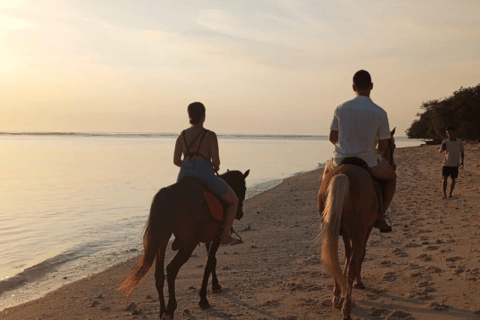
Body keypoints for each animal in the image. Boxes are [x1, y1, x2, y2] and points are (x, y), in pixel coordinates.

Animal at [119, 169, 249, 318]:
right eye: (244, 188)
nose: (240, 213)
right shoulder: (216, 237)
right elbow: (209, 263)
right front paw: (203, 298)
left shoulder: (209, 239)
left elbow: (212, 261)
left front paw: (215, 285)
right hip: (188, 245)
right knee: (171, 269)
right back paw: (170, 309)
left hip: (162, 240)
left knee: (159, 274)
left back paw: (163, 310)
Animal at [316, 129, 396, 318]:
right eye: (394, 146)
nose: (394, 165)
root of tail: (344, 173)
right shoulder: (365, 229)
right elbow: (360, 255)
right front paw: (358, 282)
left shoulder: (346, 233)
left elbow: (347, 255)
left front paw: (342, 288)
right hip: (359, 231)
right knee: (354, 261)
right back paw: (346, 309)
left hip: (333, 228)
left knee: (335, 258)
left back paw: (338, 296)